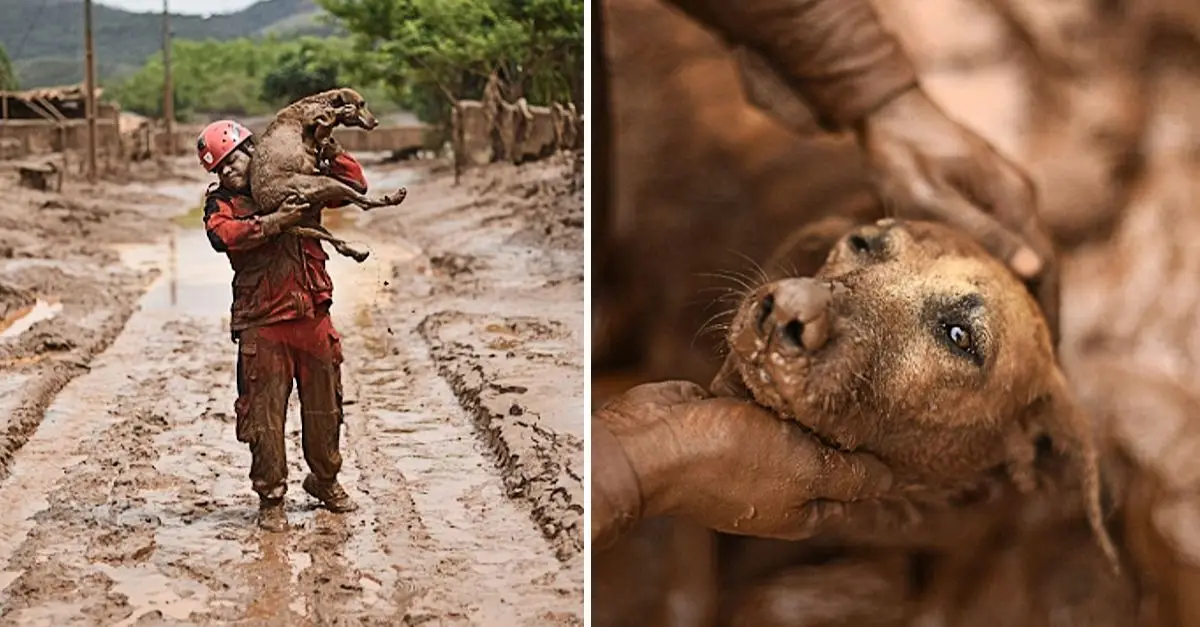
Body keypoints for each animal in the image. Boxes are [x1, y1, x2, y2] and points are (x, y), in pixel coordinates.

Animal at [248, 86, 408, 259]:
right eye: (361, 103)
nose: (376, 122)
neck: (322, 101)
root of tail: (266, 205)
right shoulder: (315, 117)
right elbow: (330, 115)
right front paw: (342, 111)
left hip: (308, 215)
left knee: (339, 238)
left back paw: (356, 252)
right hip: (322, 185)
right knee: (364, 203)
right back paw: (394, 198)